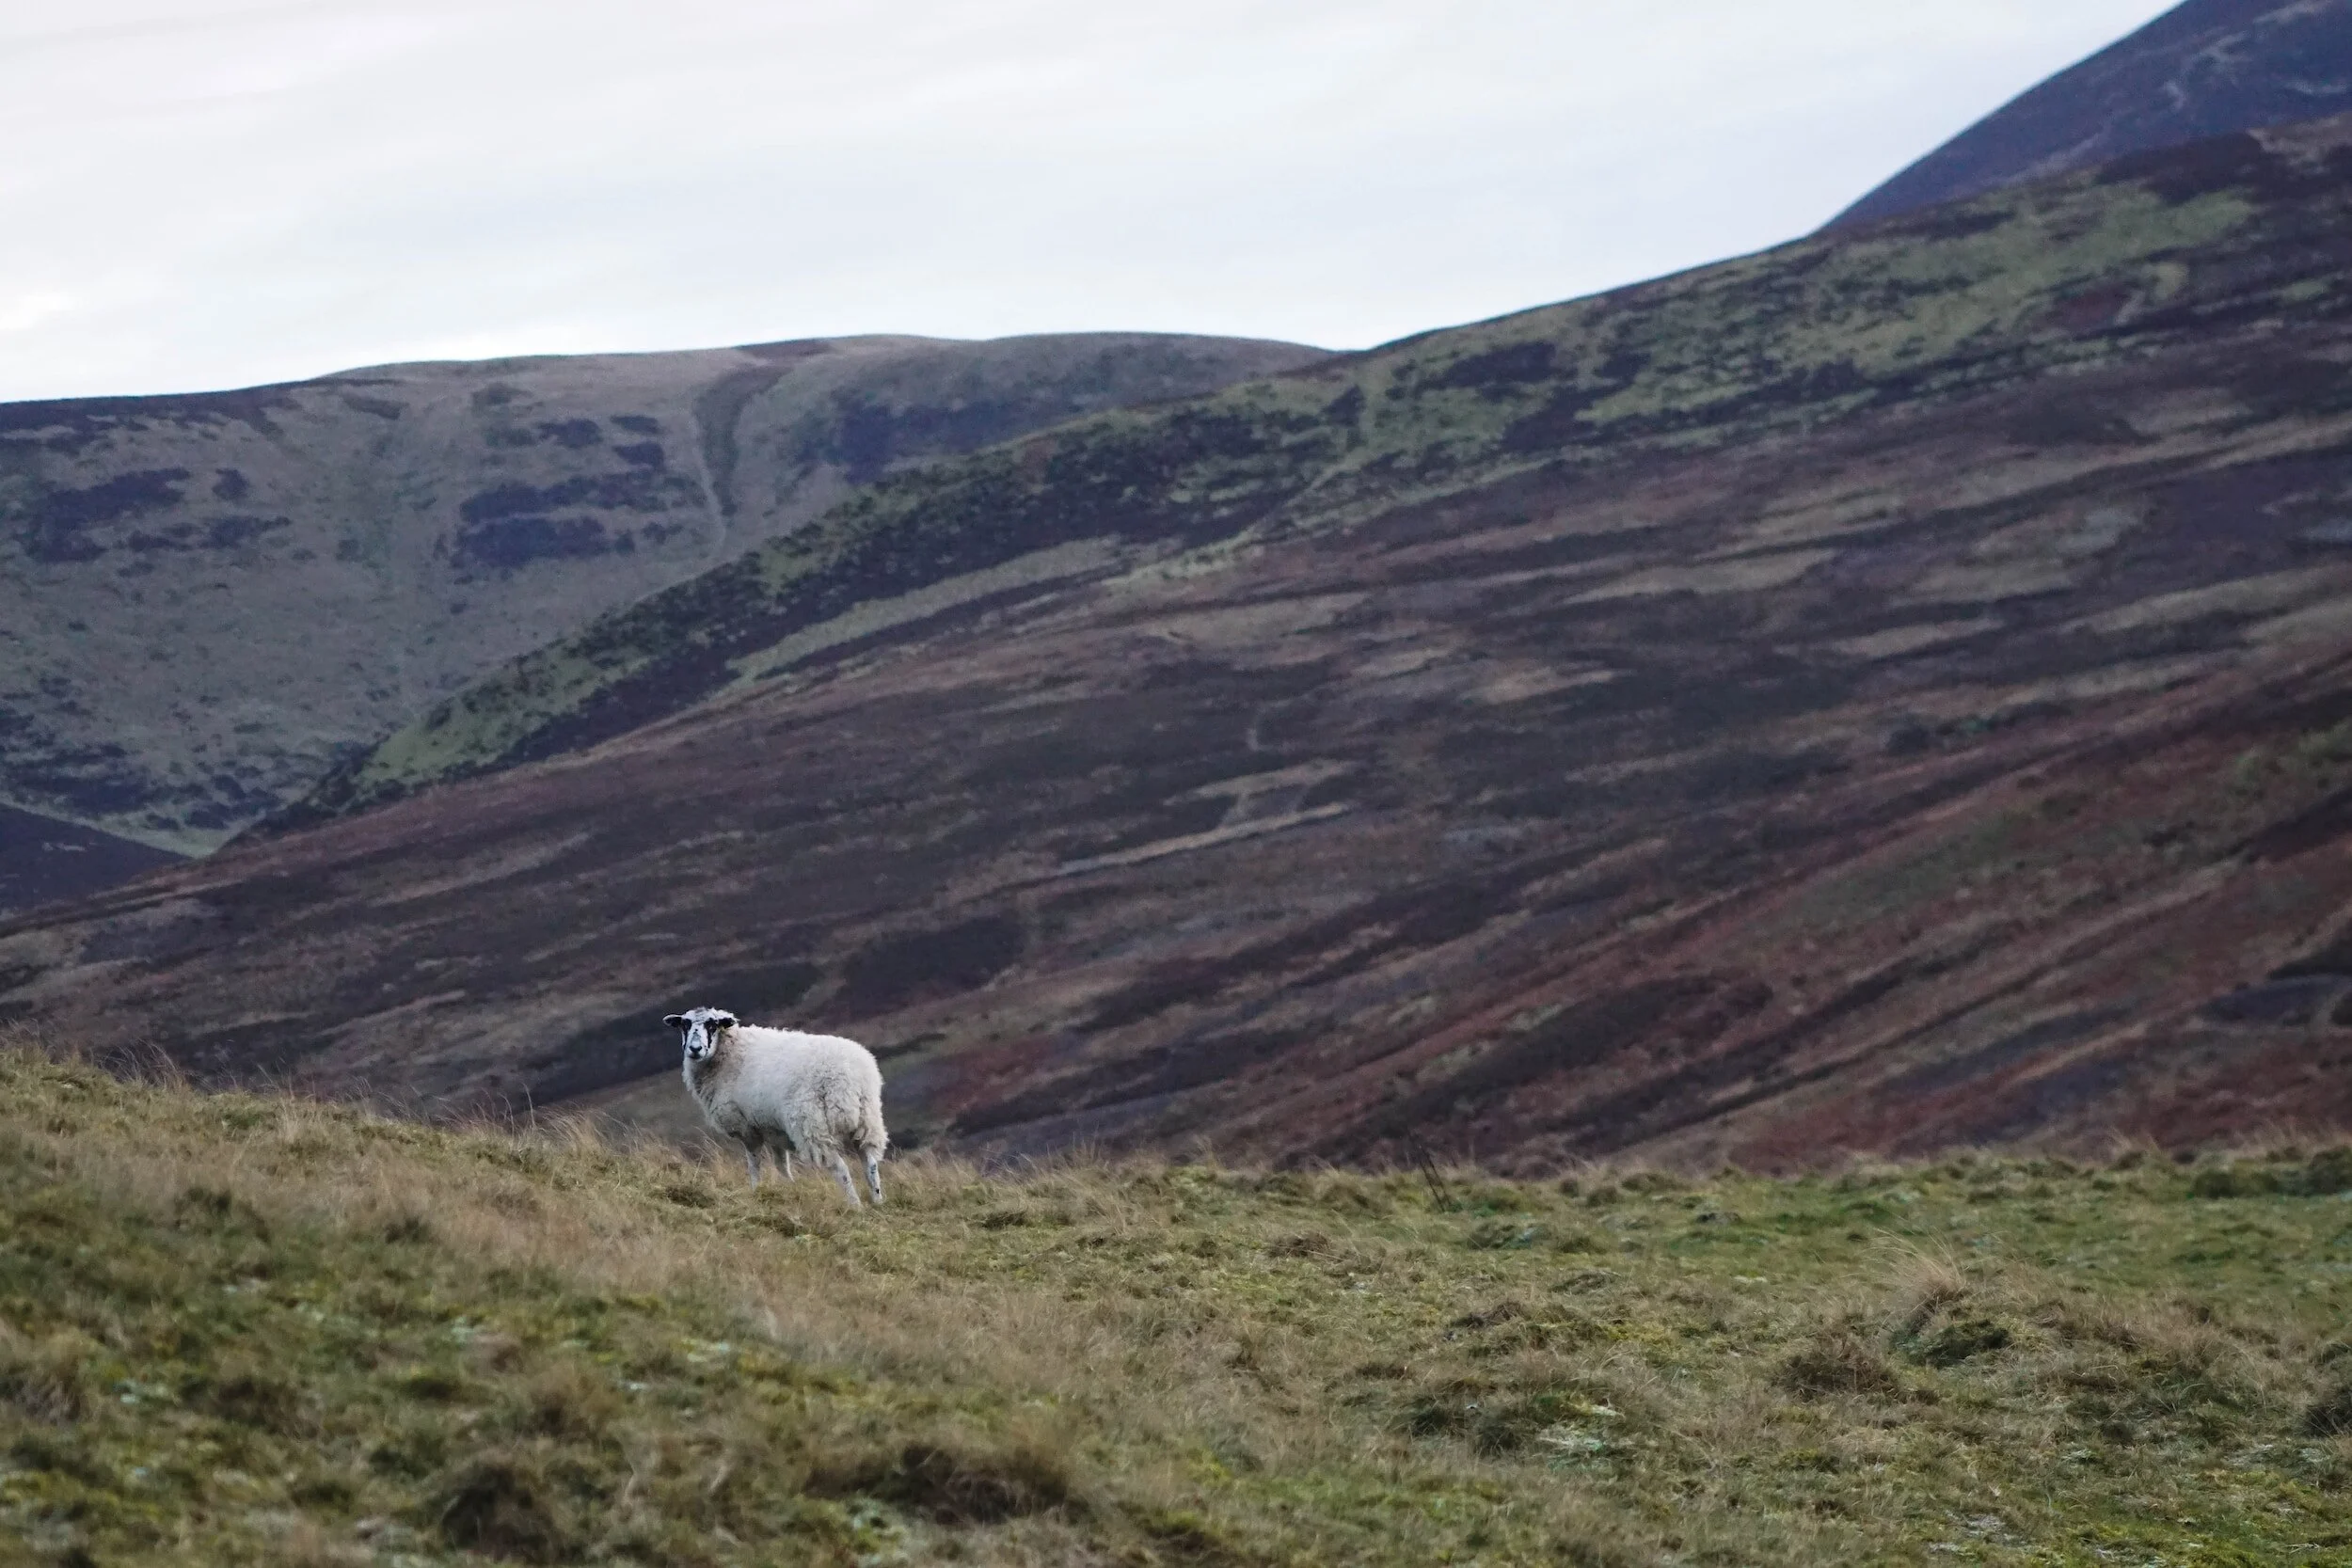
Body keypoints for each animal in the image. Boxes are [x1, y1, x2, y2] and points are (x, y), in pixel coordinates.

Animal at [665, 1005, 888, 1206]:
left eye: (712, 1025)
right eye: (685, 1025)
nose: (695, 1049)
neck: (728, 1052)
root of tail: (852, 1078)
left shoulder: (746, 1127)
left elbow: (754, 1163)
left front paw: (756, 1190)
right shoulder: (773, 1128)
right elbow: (781, 1165)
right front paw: (790, 1189)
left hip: (812, 1124)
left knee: (839, 1167)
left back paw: (855, 1205)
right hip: (867, 1122)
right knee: (870, 1163)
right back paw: (877, 1201)